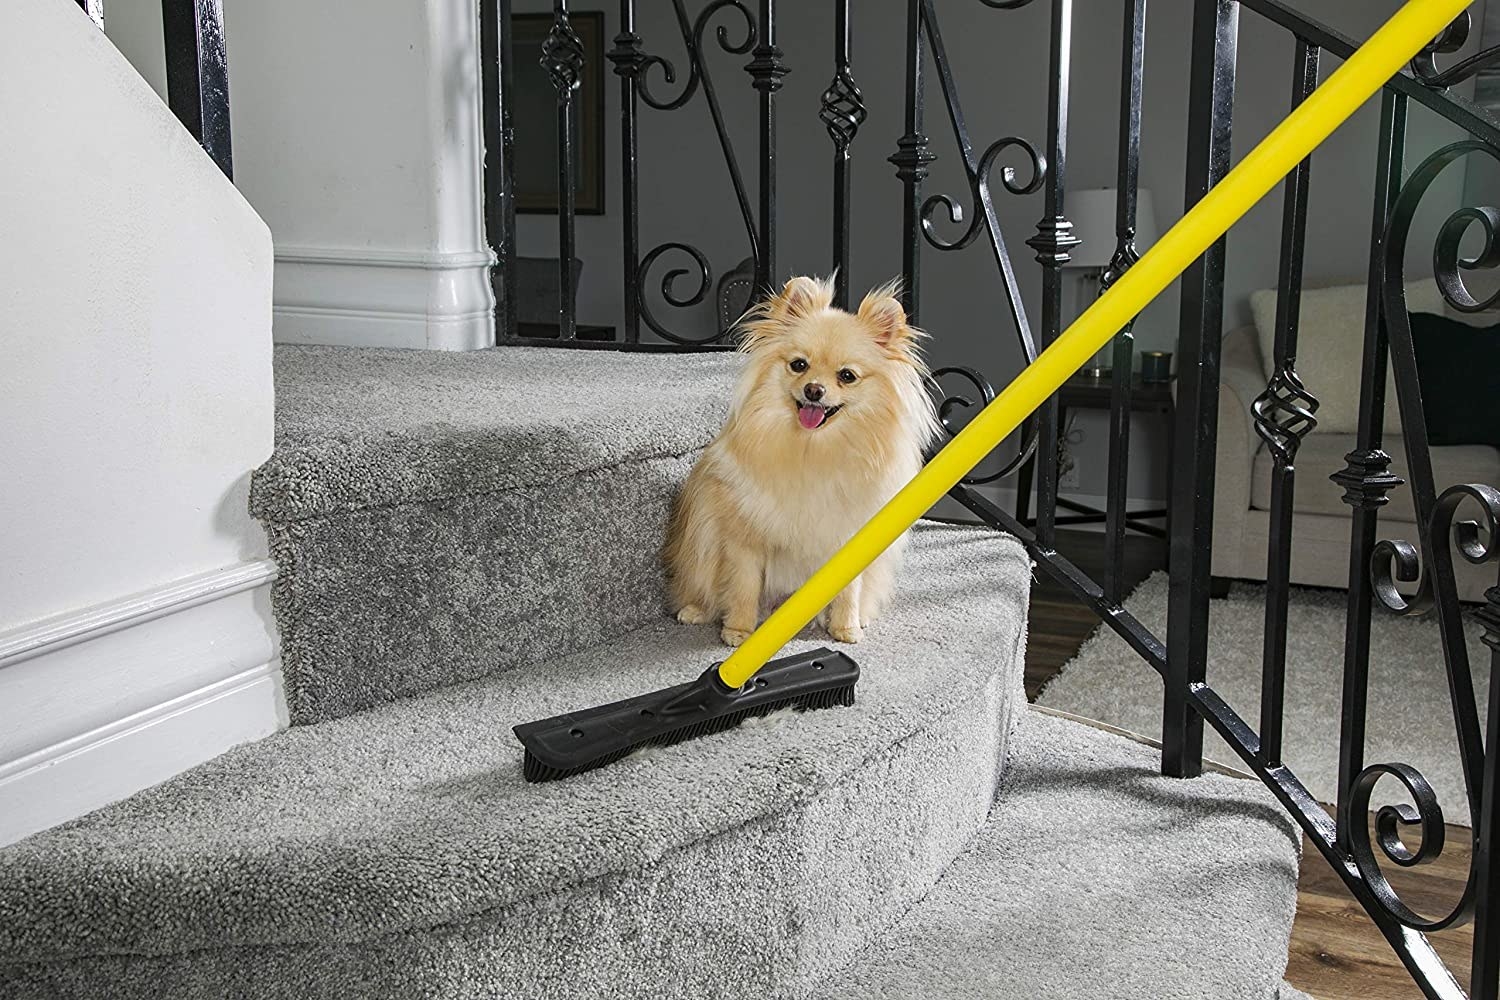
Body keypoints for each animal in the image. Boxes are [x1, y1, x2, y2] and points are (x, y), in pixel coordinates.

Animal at [666, 274, 936, 650]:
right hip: (700, 554)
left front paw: (845, 628)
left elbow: (849, 590)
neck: (812, 449)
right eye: (799, 365)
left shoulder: (847, 537)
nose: (813, 390)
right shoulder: (743, 541)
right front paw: (739, 632)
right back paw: (696, 611)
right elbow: (743, 587)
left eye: (847, 376)